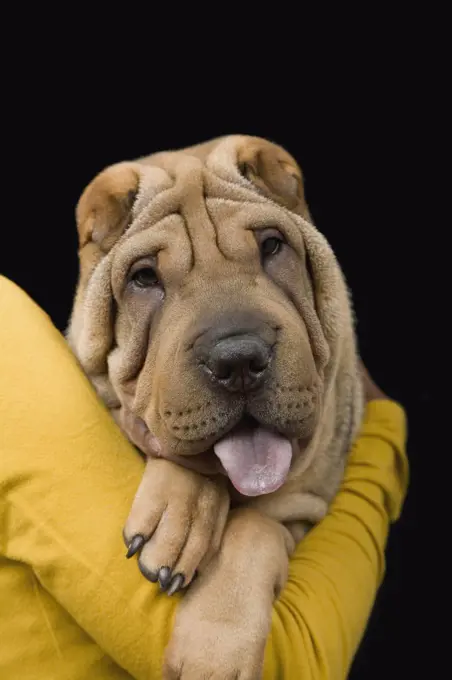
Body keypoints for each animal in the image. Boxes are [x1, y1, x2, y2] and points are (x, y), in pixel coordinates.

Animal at [66, 135, 364, 676]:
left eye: (272, 246)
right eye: (144, 277)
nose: (239, 359)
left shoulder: (310, 505)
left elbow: (257, 528)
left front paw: (213, 654)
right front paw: (179, 515)